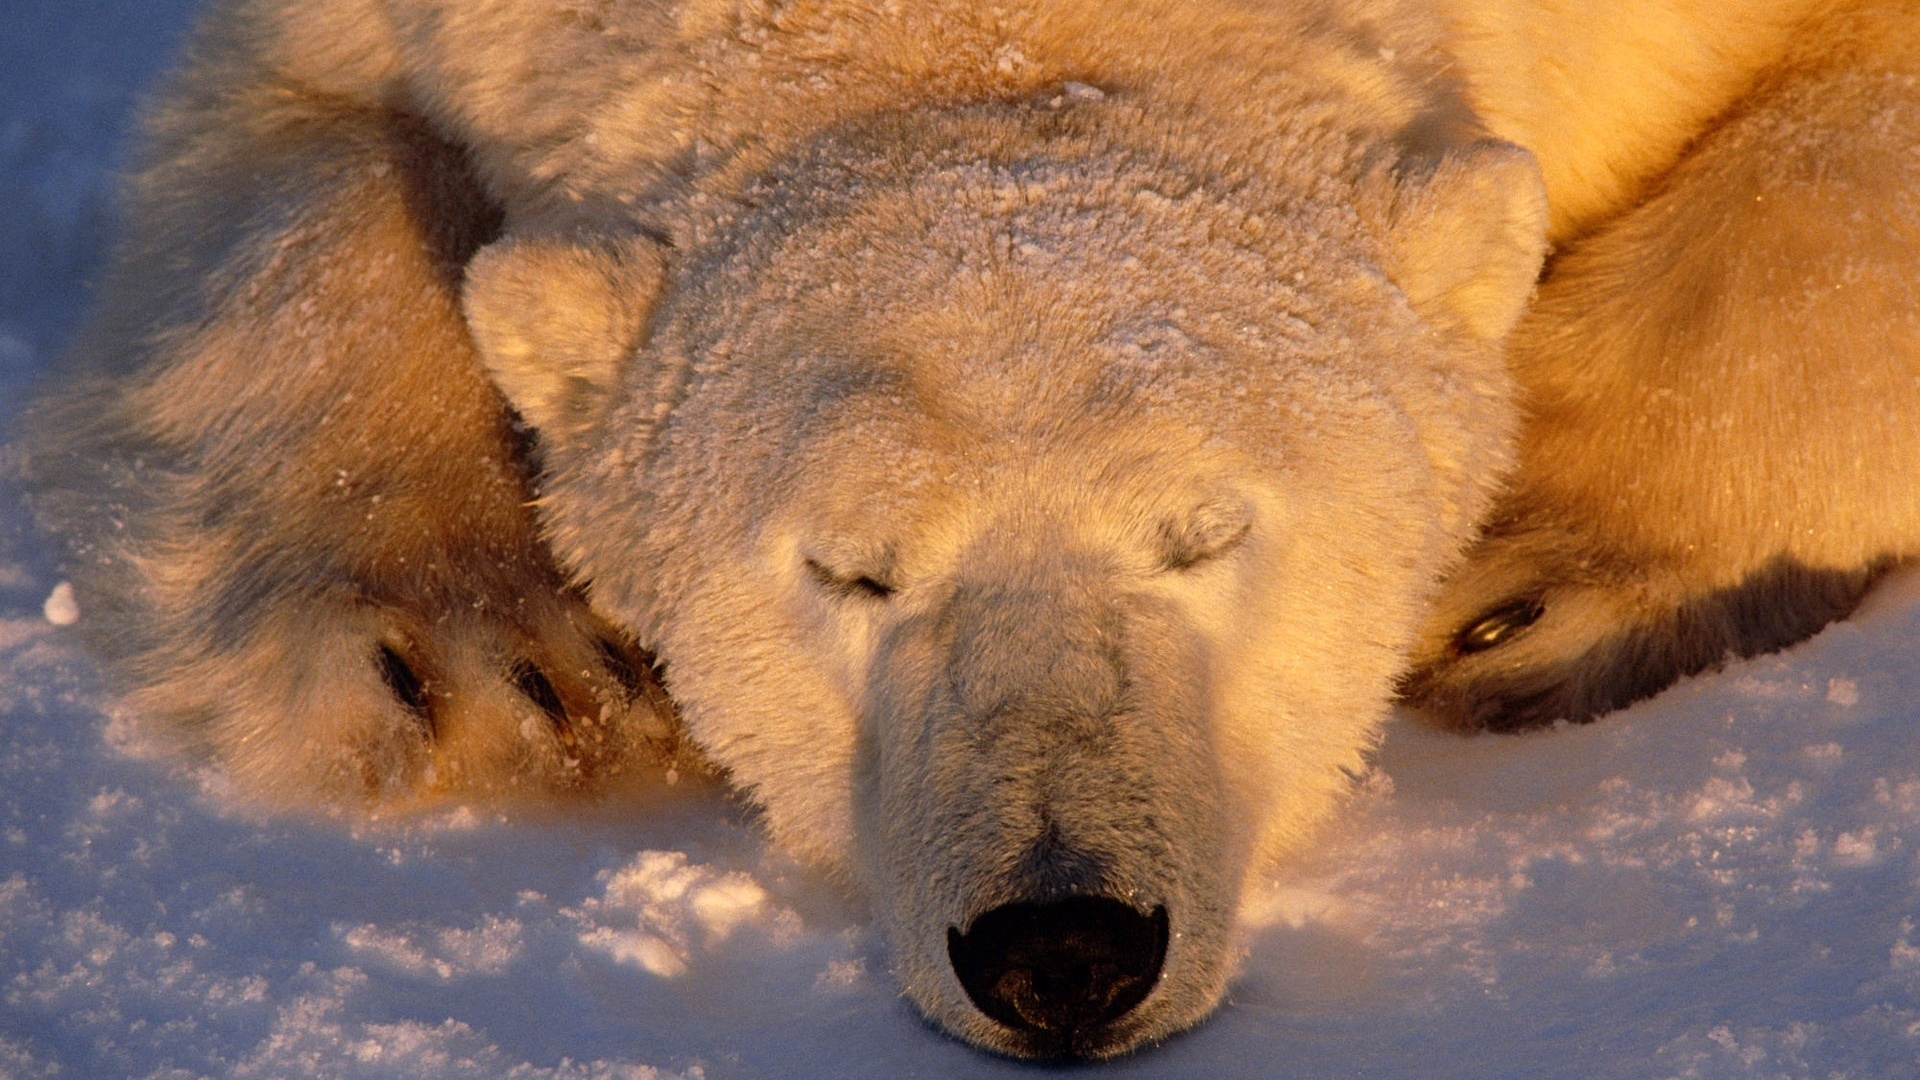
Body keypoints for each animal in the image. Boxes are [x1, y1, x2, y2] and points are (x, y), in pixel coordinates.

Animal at [18, 0, 1920, 1060]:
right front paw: (478, 667)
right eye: (849, 570)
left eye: (1205, 532)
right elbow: (294, 160)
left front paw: (1533, 572)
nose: (1062, 947)